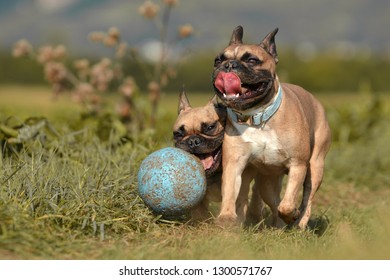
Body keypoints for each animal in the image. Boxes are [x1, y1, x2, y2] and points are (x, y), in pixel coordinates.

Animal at [212, 25, 330, 229]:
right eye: (218, 60)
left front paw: (292, 214)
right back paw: (279, 225)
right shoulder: (234, 163)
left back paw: (299, 223)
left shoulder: (298, 164)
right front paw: (226, 216)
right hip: (267, 181)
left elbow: (289, 202)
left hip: (315, 166)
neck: (257, 118)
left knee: (306, 199)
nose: (228, 66)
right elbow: (230, 191)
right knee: (274, 202)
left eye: (252, 60)